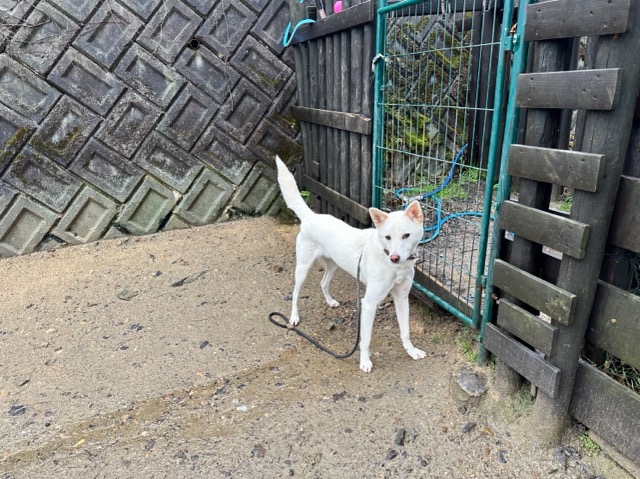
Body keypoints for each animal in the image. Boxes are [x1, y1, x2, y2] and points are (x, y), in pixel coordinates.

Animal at [275, 156, 427, 372]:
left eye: (406, 235)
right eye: (387, 237)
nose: (395, 257)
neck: (393, 265)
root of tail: (311, 216)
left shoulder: (402, 297)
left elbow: (405, 331)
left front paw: (411, 352)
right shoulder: (369, 303)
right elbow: (366, 339)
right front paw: (364, 362)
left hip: (333, 265)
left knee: (323, 282)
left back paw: (330, 301)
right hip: (302, 268)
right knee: (295, 293)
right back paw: (294, 317)